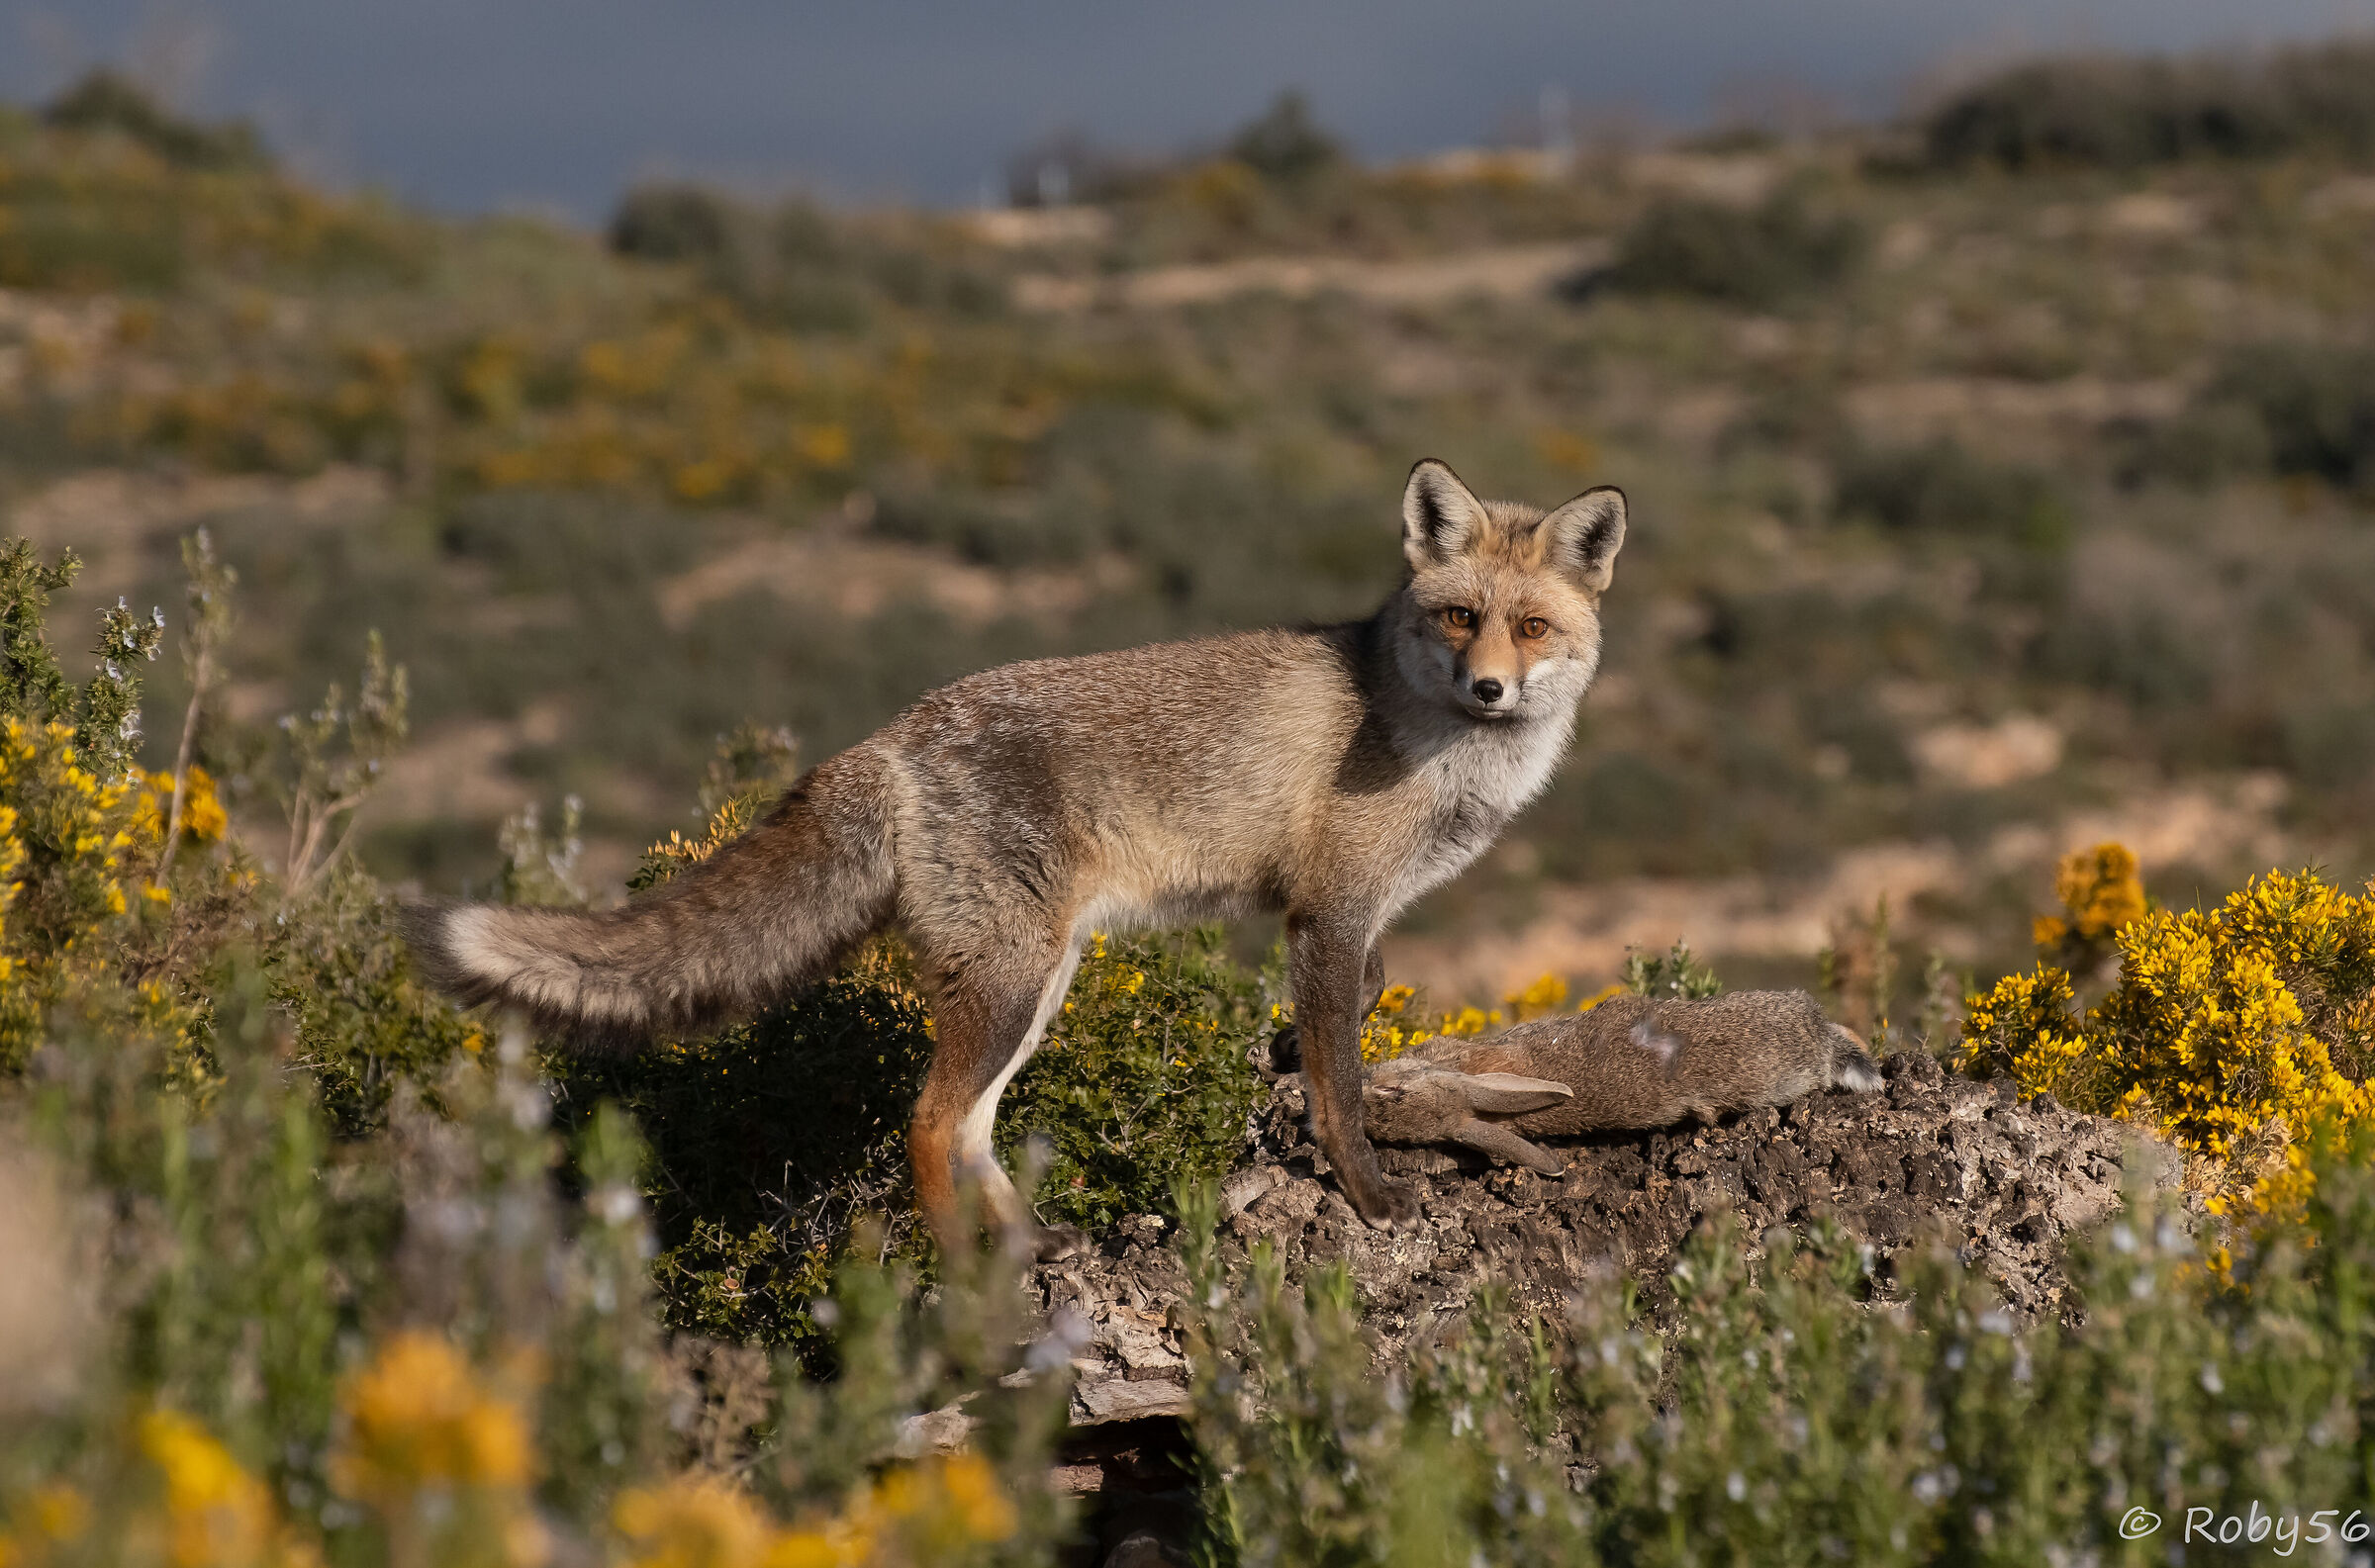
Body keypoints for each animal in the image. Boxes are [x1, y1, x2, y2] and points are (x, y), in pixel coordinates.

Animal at [404, 458, 1626, 1254]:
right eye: (1459, 617)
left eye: (1532, 629)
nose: (1489, 688)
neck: (1437, 747)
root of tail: (891, 735)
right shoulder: (1327, 908)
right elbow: (1343, 1083)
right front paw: (1370, 1195)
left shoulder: (1343, 914)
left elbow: (1360, 997)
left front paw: (1290, 1054)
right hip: (1011, 980)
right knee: (930, 1124)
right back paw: (962, 1273)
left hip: (1036, 980)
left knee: (975, 1128)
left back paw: (1029, 1246)